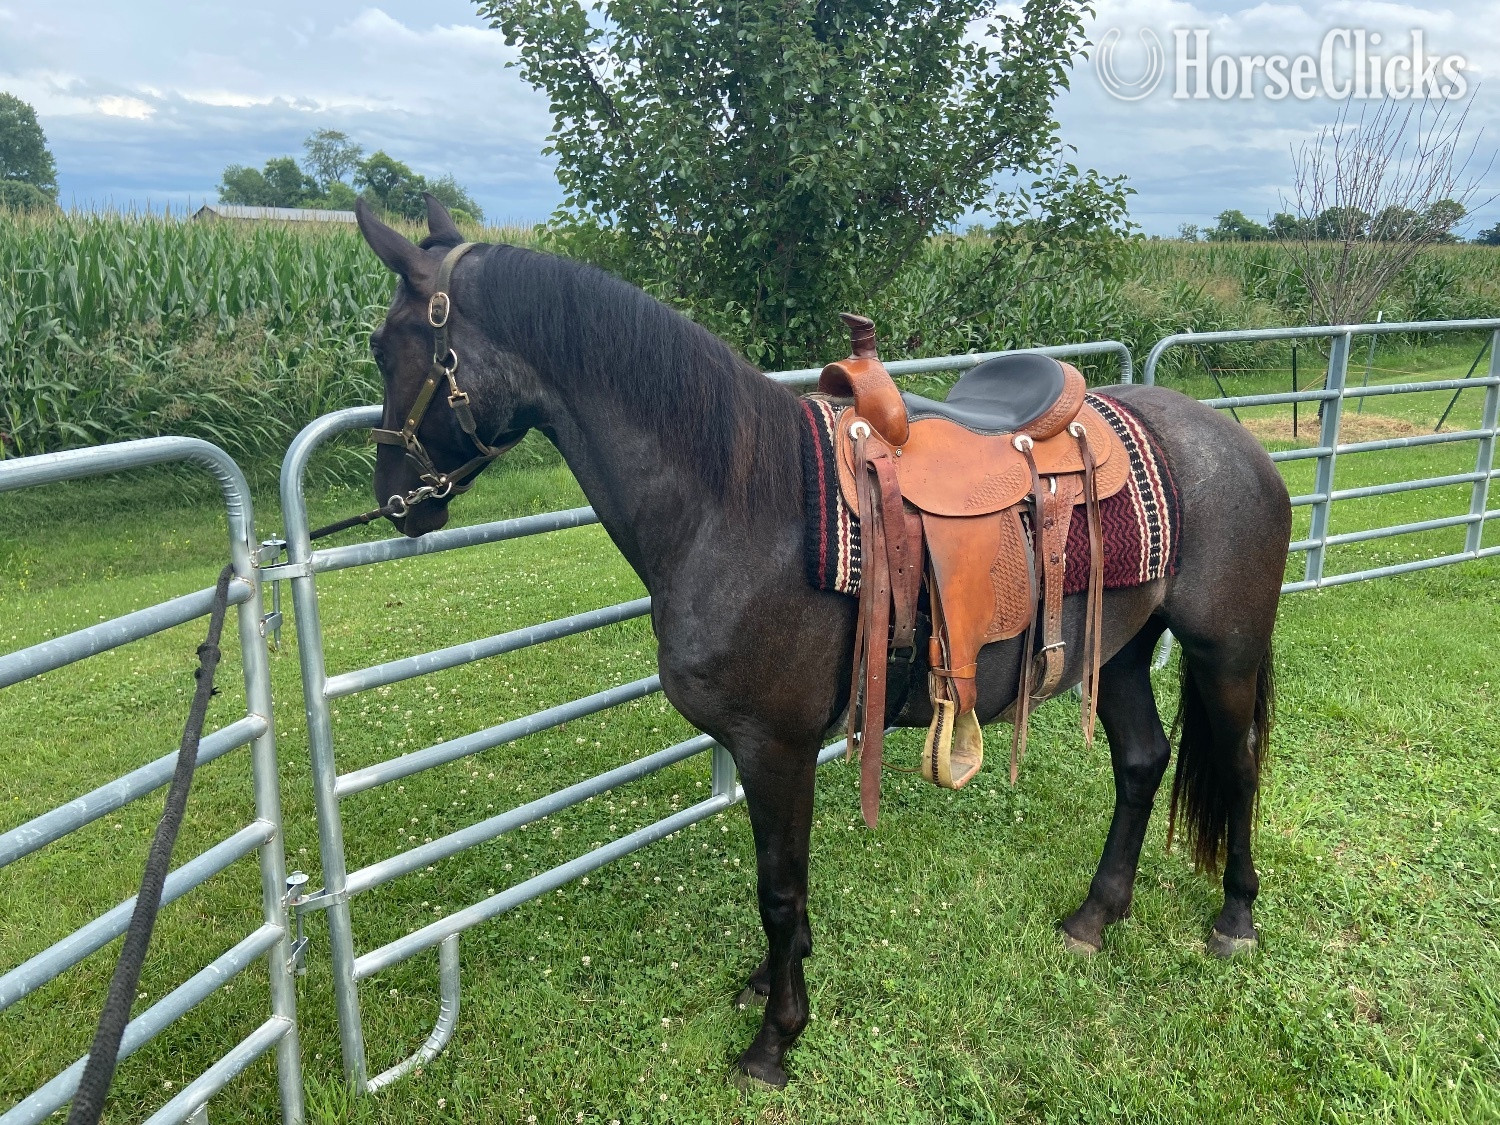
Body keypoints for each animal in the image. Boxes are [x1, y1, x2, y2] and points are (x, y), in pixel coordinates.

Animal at [353, 196, 1291, 1087]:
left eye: (383, 344)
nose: (396, 498)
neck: (738, 504)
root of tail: (1236, 441)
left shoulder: (774, 745)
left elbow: (778, 889)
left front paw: (775, 1040)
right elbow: (786, 893)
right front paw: (771, 984)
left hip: (1225, 651)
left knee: (1240, 764)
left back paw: (1236, 916)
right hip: (1121, 648)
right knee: (1141, 760)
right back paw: (1096, 915)